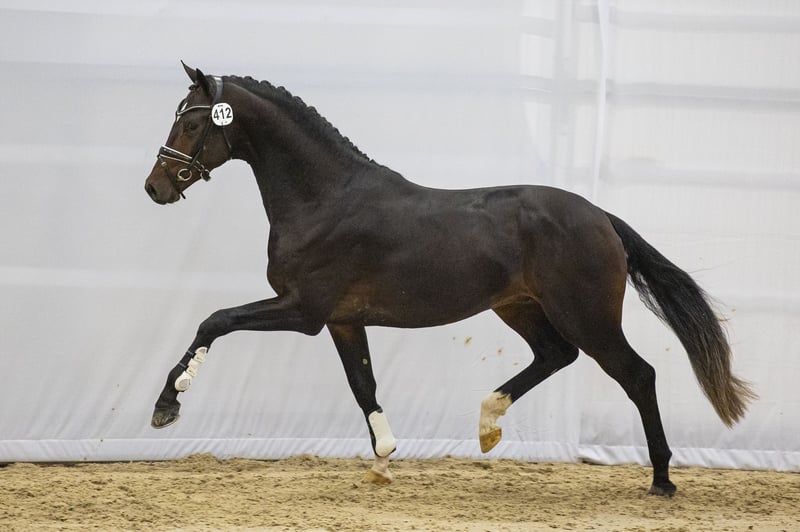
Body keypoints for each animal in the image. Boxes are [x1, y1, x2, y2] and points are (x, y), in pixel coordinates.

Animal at [144, 63, 755, 496]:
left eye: (192, 122)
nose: (155, 187)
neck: (326, 200)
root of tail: (600, 216)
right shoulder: (342, 321)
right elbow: (363, 385)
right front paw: (383, 461)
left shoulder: (303, 310)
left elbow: (216, 320)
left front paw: (168, 404)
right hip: (519, 307)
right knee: (556, 355)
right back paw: (488, 425)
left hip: (587, 315)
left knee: (638, 374)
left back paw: (662, 481)